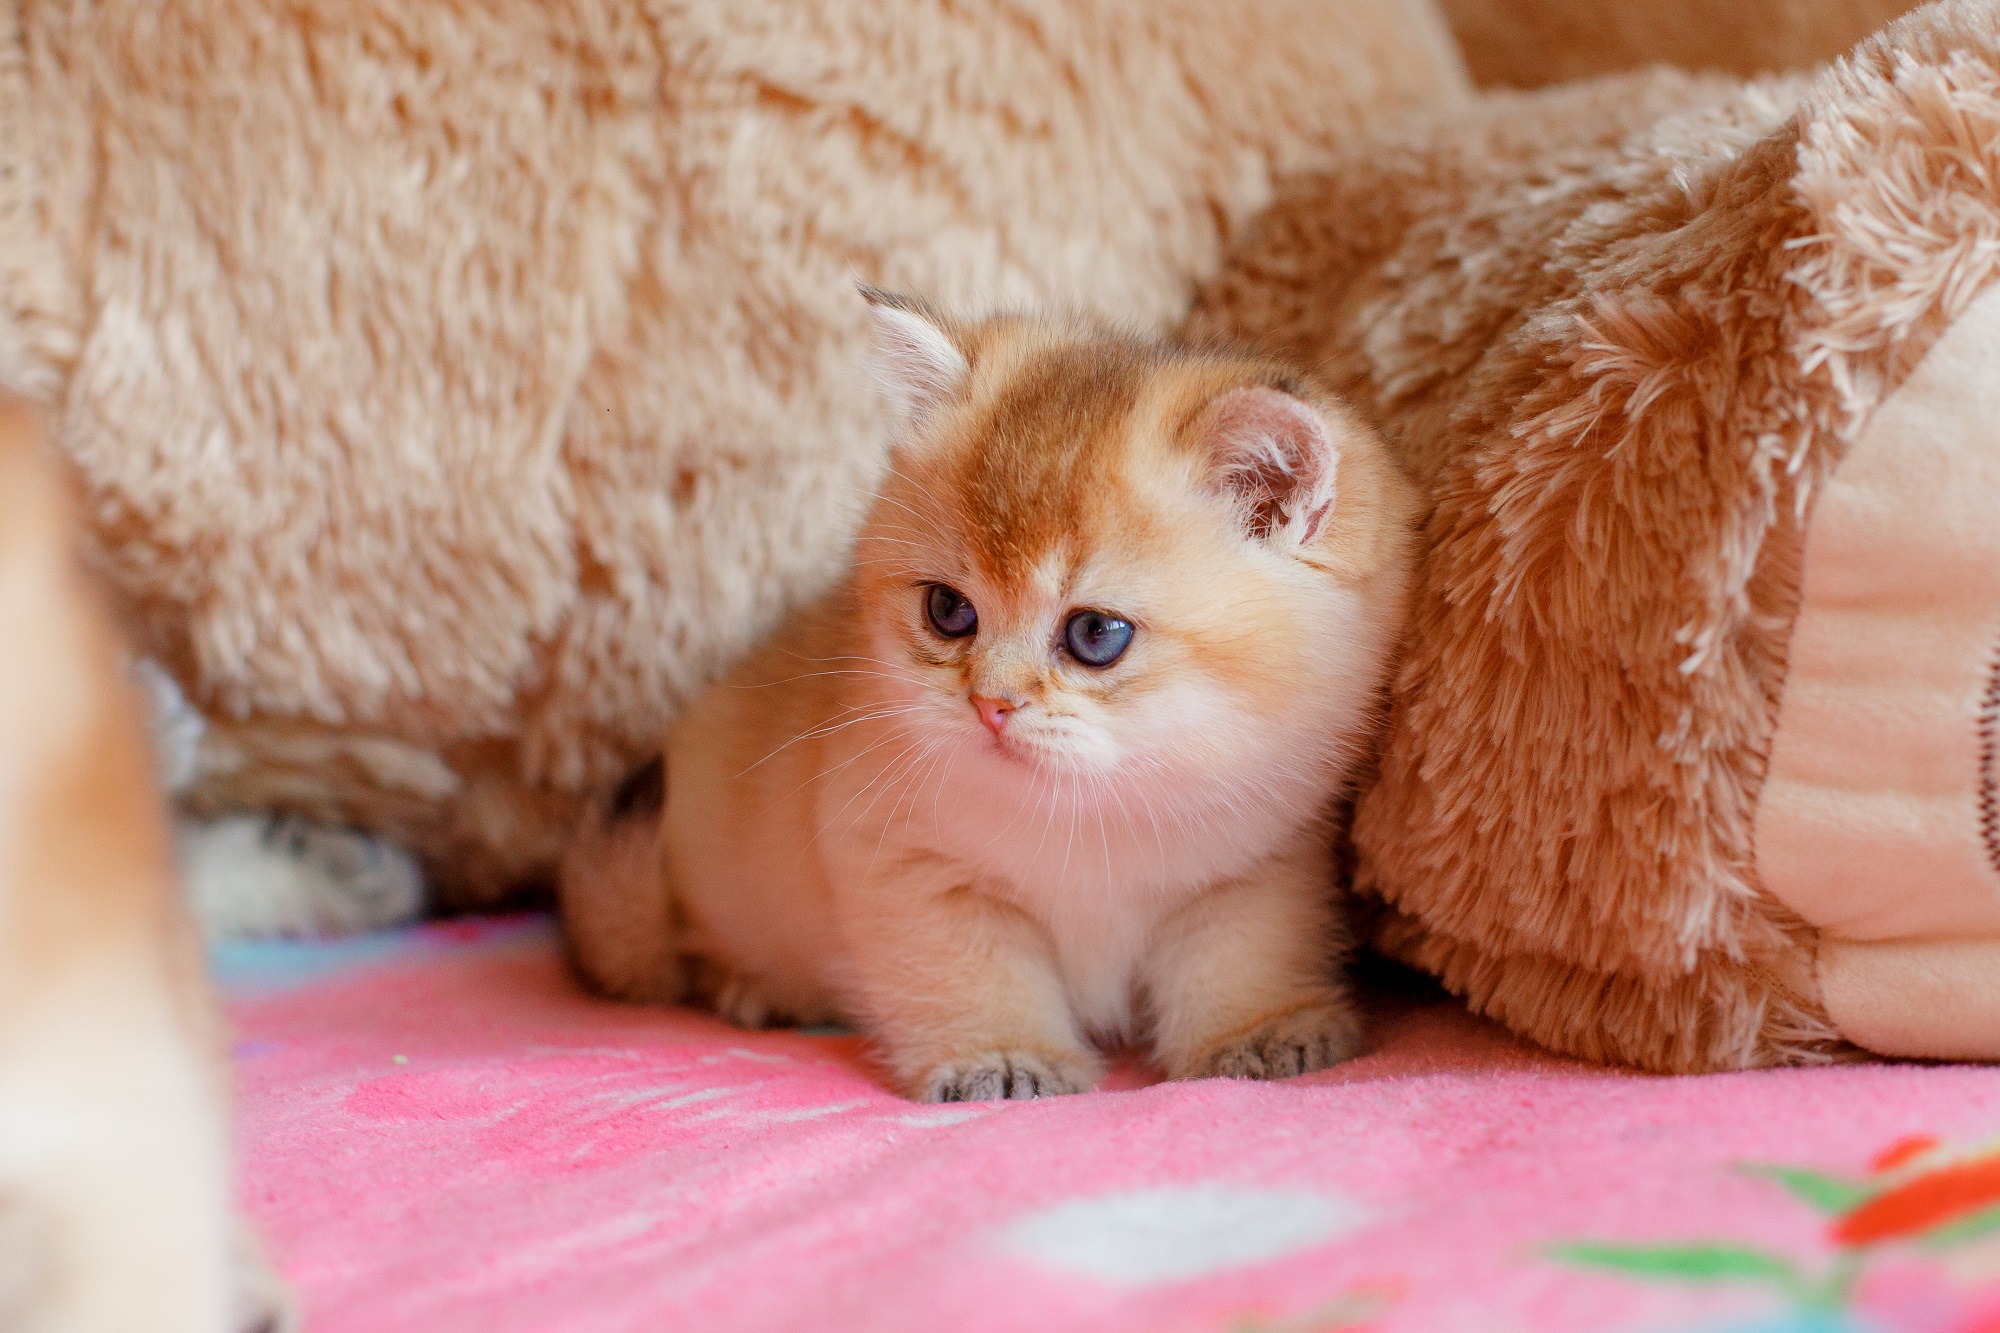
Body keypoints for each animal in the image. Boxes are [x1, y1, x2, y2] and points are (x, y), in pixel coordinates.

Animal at [556, 290, 1416, 1096]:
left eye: (1095, 633)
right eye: (948, 611)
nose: (991, 704)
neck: (1093, 814)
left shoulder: (1259, 865)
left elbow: (1242, 956)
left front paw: (1262, 1032)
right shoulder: (909, 867)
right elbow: (969, 975)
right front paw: (1001, 1056)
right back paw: (758, 988)